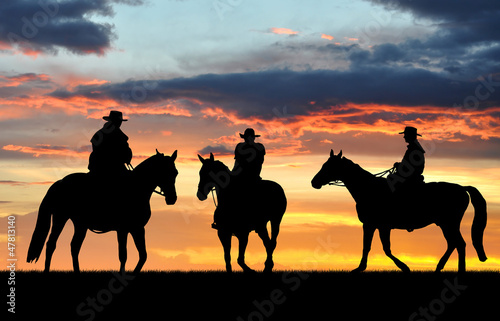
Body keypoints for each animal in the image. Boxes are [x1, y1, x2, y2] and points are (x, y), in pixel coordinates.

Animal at [27, 150, 179, 272]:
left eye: (175, 173)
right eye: (165, 171)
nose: (172, 198)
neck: (136, 188)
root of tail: (59, 183)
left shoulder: (138, 228)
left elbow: (143, 255)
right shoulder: (123, 229)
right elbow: (123, 255)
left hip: (80, 224)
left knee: (74, 246)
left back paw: (77, 273)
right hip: (60, 217)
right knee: (51, 244)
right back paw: (47, 272)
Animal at [310, 149, 486, 272]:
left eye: (329, 166)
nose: (314, 182)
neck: (369, 189)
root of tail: (462, 188)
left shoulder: (373, 225)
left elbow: (375, 247)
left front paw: (361, 268)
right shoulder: (379, 226)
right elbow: (381, 248)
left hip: (449, 223)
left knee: (459, 244)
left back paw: (459, 271)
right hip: (444, 224)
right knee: (453, 244)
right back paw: (439, 268)